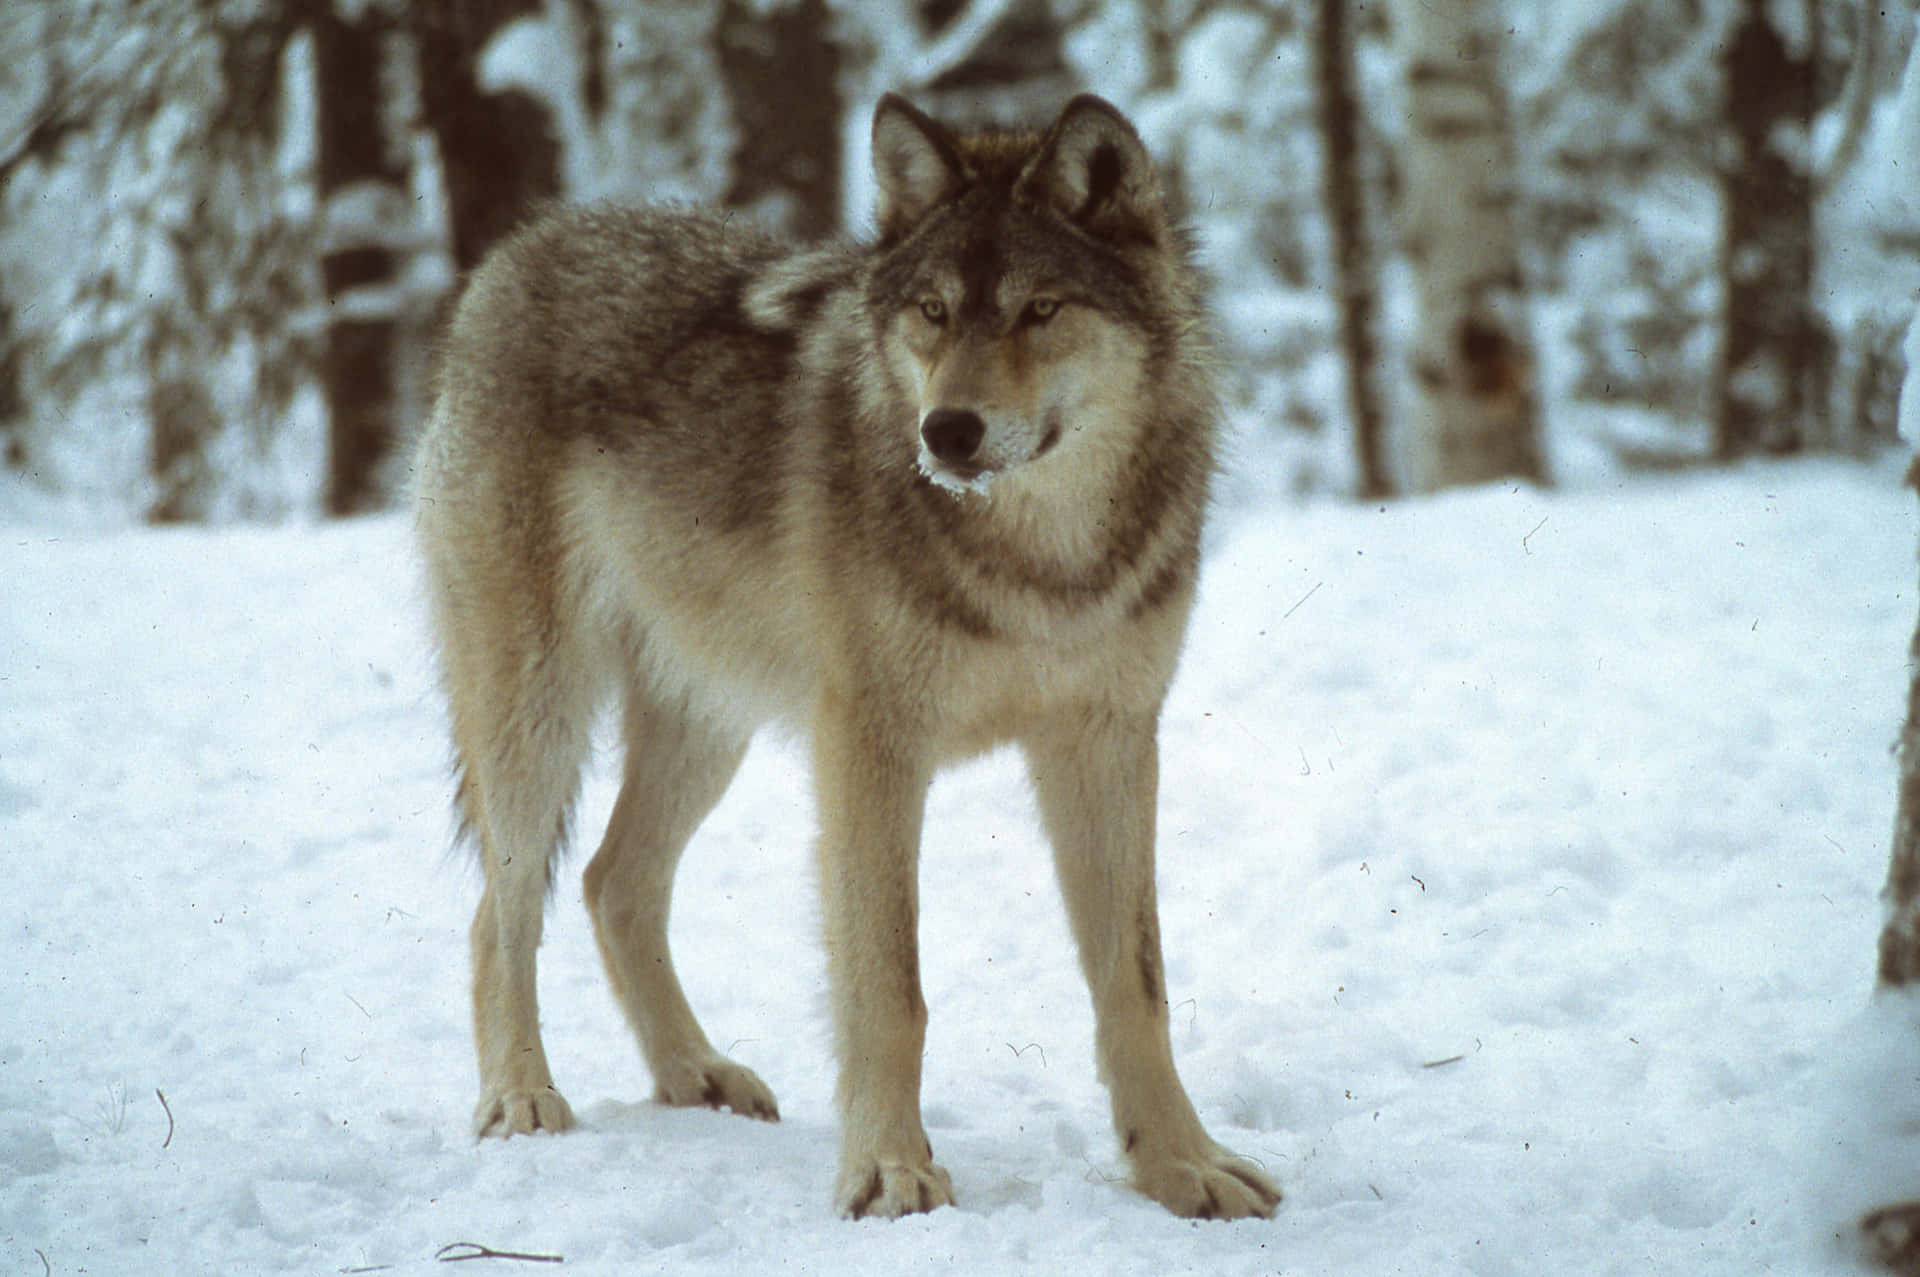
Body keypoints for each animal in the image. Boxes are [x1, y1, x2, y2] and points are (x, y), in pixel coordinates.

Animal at [412, 94, 1282, 1221]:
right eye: (934, 311)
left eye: (1041, 310)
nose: (947, 430)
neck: (1038, 559)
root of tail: (517, 251)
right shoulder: (869, 747)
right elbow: (889, 986)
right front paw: (890, 1169)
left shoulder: (1110, 741)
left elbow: (1137, 986)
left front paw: (1180, 1165)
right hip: (539, 720)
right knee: (501, 911)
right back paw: (519, 1095)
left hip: (711, 725)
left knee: (612, 881)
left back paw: (695, 1072)